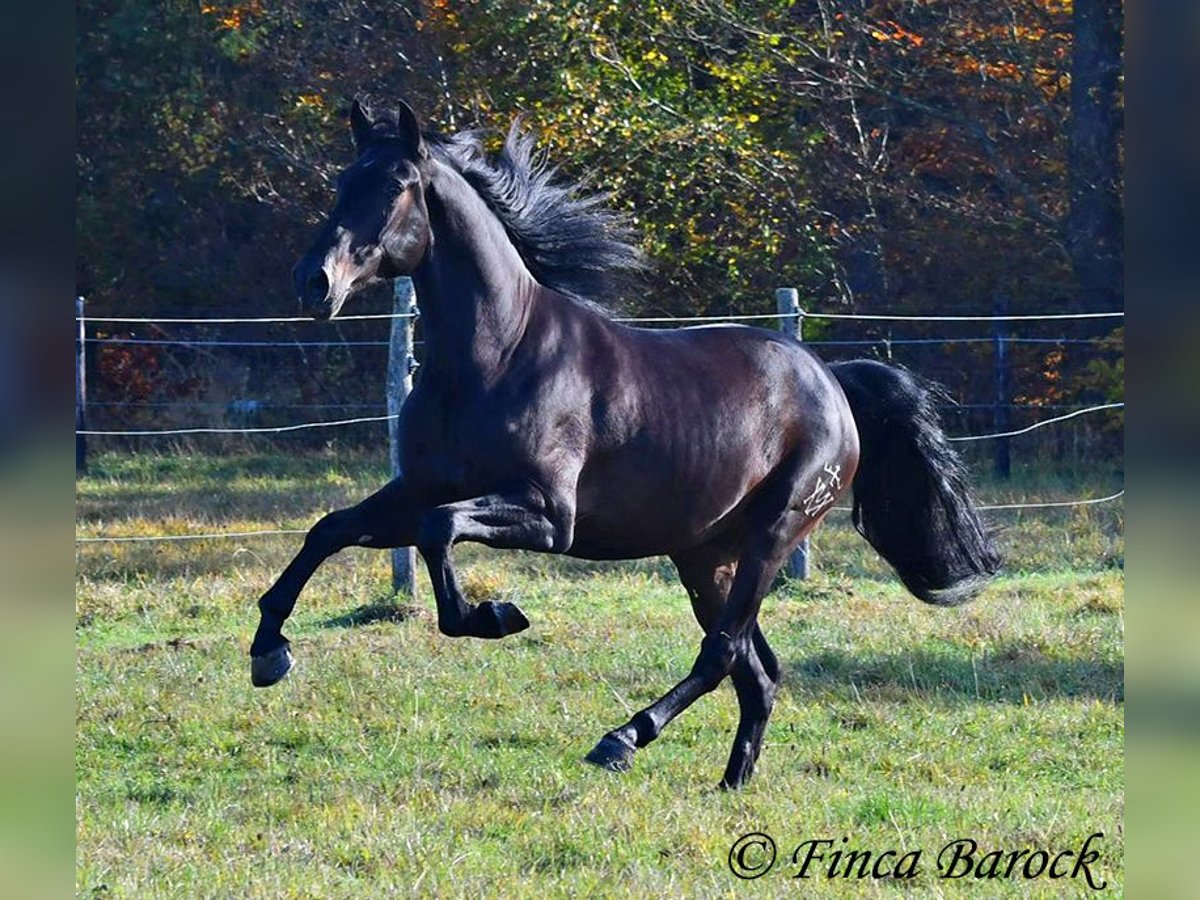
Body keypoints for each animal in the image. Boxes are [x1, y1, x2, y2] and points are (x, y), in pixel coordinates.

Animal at [248, 100, 998, 787]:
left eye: (398, 183)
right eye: (345, 180)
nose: (313, 281)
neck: (496, 355)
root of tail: (831, 381)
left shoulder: (548, 515)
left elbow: (438, 533)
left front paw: (492, 615)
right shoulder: (419, 488)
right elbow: (329, 530)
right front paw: (268, 650)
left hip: (774, 533)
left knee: (721, 654)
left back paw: (621, 739)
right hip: (704, 555)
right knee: (755, 670)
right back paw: (730, 782)